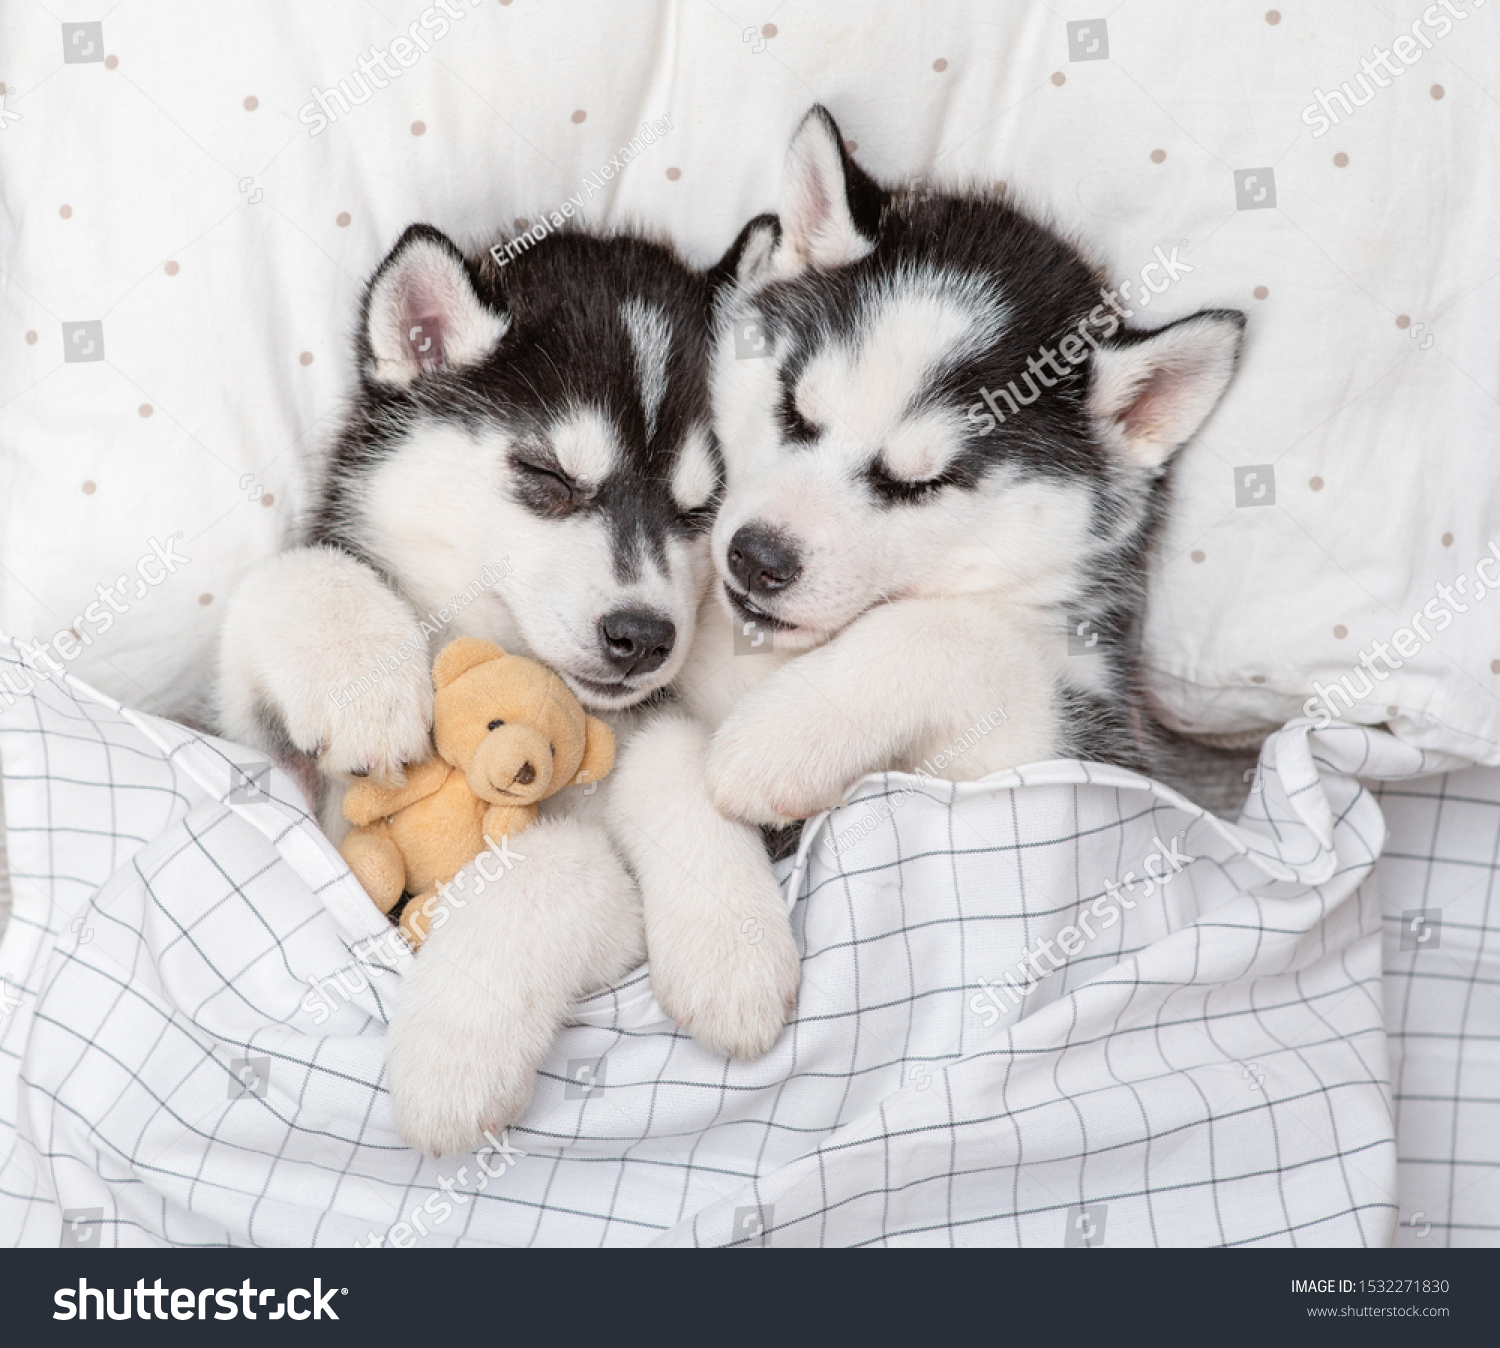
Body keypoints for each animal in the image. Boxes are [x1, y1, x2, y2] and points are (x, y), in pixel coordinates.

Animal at [216, 221, 720, 1151]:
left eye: (701, 511)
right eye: (549, 479)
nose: (643, 637)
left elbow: (559, 867)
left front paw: (453, 1051)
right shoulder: (283, 771)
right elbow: (289, 578)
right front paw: (362, 680)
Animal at [606, 107, 1242, 1067]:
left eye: (923, 483)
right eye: (795, 409)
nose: (757, 558)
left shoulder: (1085, 752)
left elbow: (954, 634)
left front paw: (776, 743)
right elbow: (657, 747)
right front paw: (728, 948)